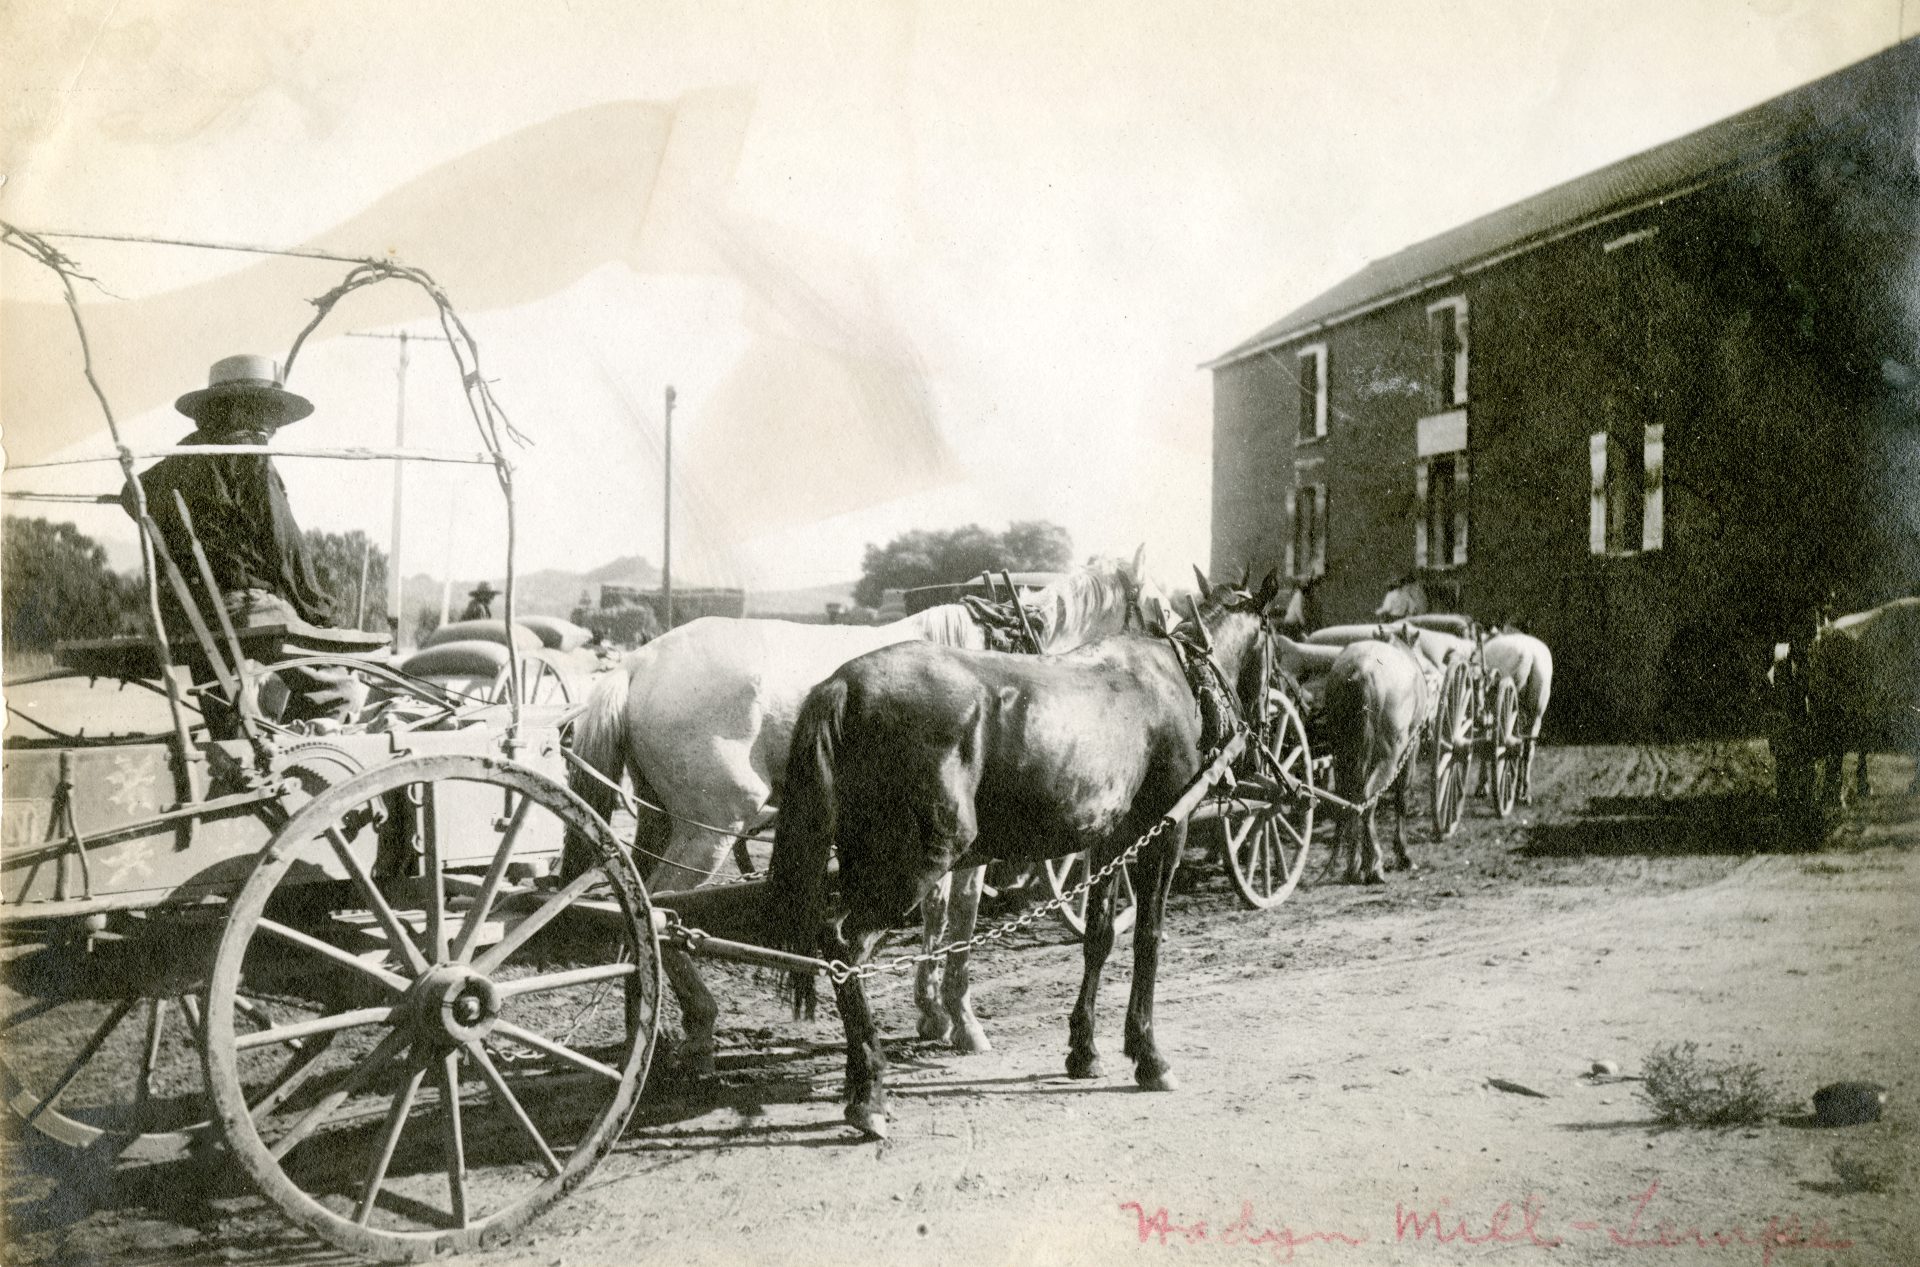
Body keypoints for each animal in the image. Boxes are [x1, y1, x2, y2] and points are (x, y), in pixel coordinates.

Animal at [568, 549, 1152, 1067]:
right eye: (1155, 604)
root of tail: (638, 663)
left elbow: (935, 914)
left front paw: (931, 1015)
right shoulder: (972, 845)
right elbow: (962, 921)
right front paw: (962, 1021)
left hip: (659, 820)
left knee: (638, 910)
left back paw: (649, 1027)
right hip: (710, 829)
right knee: (661, 909)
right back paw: (701, 1022)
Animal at [760, 575, 1274, 1136]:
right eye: (1274, 642)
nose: (1266, 726)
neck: (1174, 677)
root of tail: (844, 685)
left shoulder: (1110, 840)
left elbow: (1098, 937)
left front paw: (1084, 1050)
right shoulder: (1165, 831)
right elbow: (1147, 940)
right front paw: (1148, 1054)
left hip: (865, 860)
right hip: (914, 865)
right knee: (843, 946)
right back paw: (869, 1089)